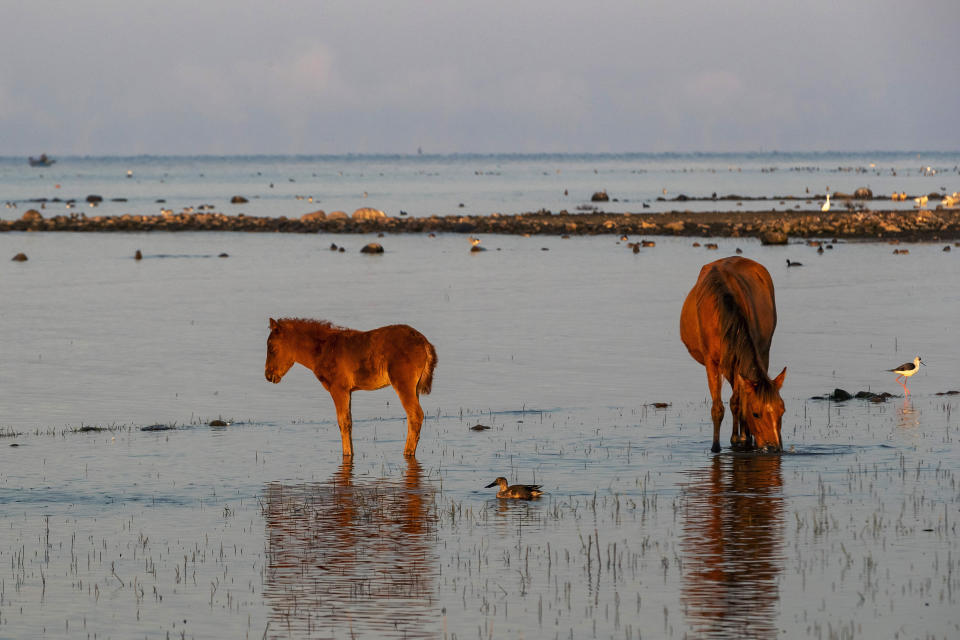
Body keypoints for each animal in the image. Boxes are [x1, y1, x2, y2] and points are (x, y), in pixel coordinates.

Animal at [266, 318, 438, 458]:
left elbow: (343, 422)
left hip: (403, 383)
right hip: (414, 388)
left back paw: (407, 452)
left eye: (272, 348)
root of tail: (424, 343)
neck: (323, 350)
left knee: (415, 415)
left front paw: (347, 454)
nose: (268, 375)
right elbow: (349, 421)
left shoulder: (338, 388)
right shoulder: (348, 391)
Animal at [680, 258, 784, 452]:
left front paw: (741, 438)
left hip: (760, 352)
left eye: (782, 410)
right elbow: (718, 407)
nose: (774, 448)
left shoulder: (738, 361)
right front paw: (716, 446)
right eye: (756, 414)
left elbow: (737, 401)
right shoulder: (712, 362)